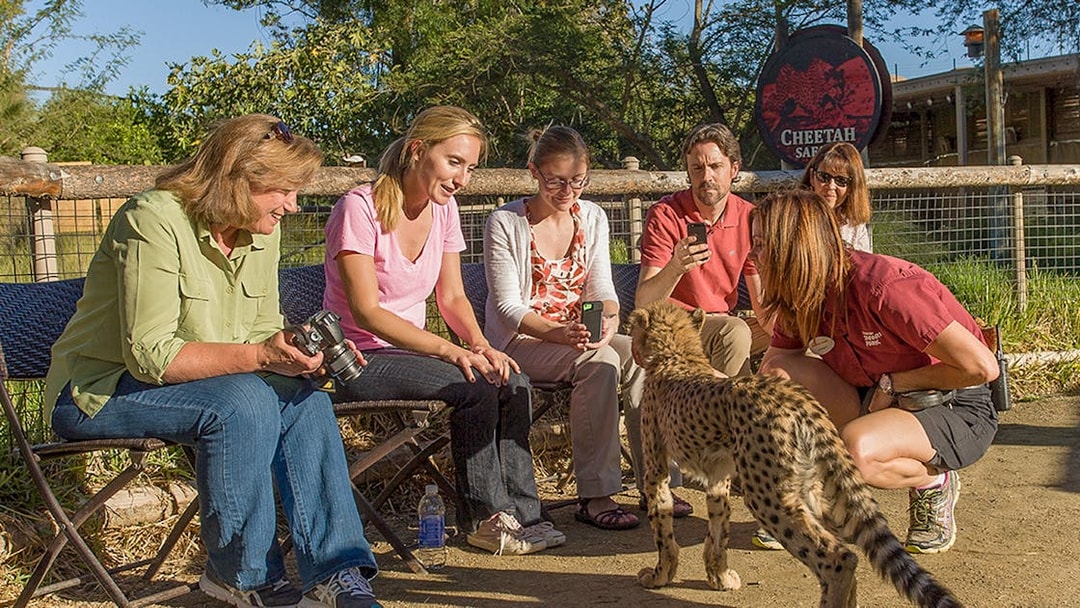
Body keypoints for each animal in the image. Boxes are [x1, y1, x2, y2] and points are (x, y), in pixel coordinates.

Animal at [628, 301, 962, 608]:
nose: (631, 341)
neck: (676, 354)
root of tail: (799, 399)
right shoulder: (718, 477)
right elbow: (718, 530)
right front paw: (719, 577)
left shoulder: (656, 469)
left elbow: (663, 528)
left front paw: (659, 576)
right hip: (811, 487)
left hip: (768, 495)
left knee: (840, 557)